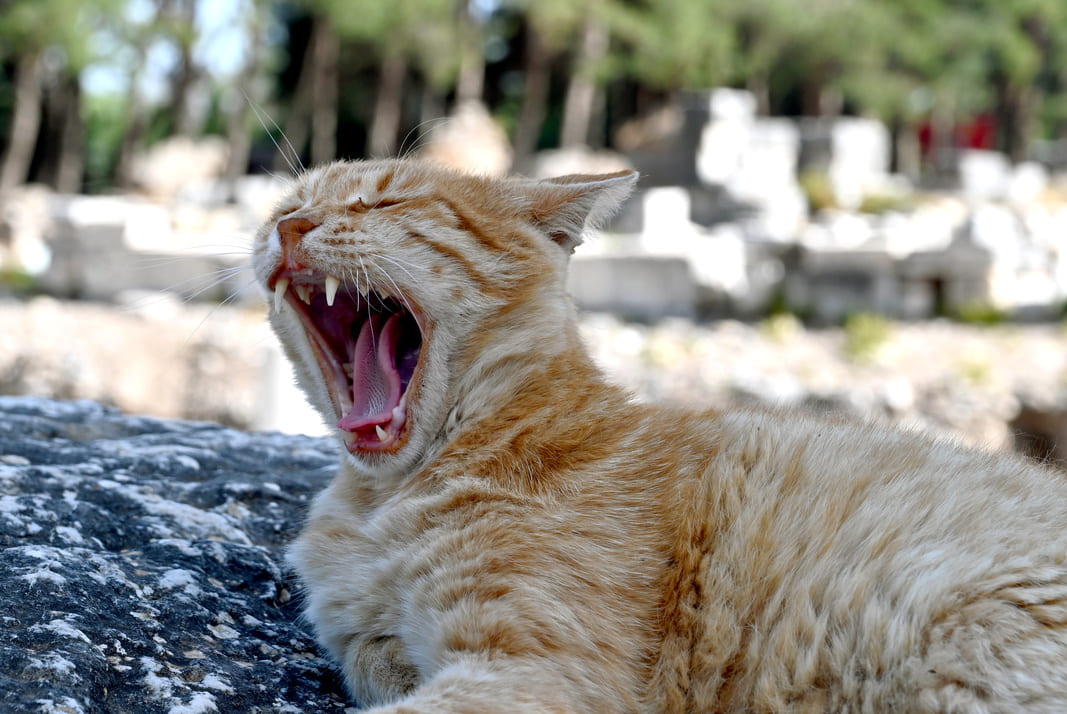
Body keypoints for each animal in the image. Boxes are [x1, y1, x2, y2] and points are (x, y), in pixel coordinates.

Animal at [251, 156, 1067, 712]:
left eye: (388, 199)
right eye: (286, 205)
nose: (287, 226)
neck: (382, 497)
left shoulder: (543, 669)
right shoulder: (374, 644)